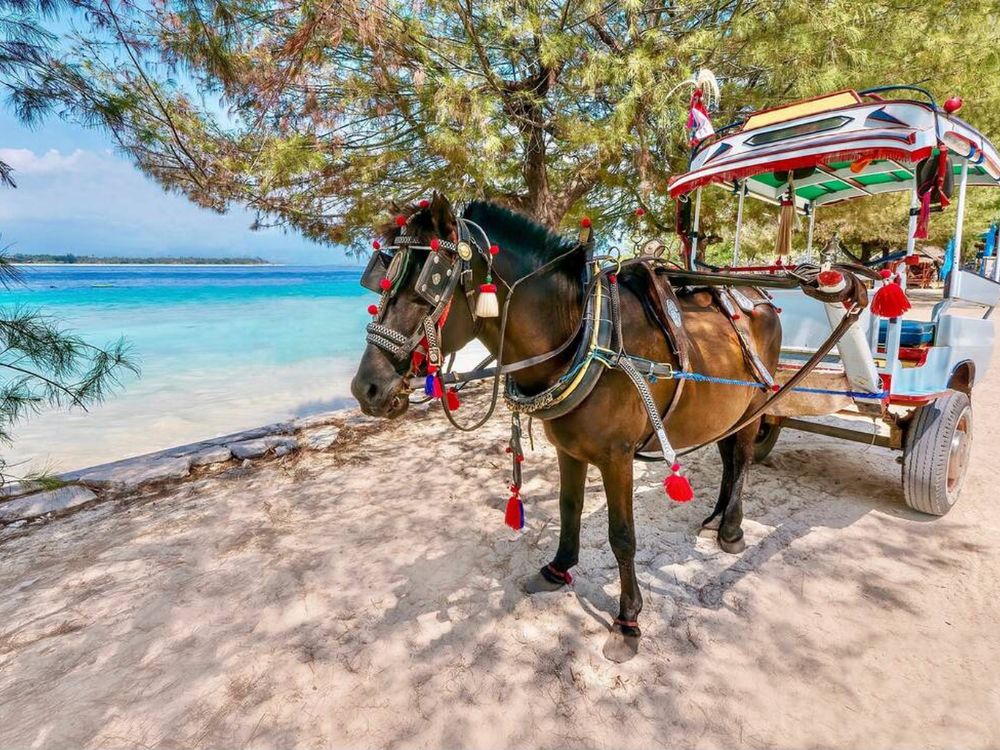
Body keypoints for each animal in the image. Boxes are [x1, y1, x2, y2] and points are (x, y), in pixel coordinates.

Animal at [351, 194, 781, 662]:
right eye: (381, 280)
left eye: (430, 283)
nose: (365, 388)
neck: (584, 334)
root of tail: (758, 294)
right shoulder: (569, 449)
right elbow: (567, 507)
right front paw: (558, 569)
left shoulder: (617, 458)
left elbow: (622, 536)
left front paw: (628, 620)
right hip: (726, 411)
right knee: (727, 457)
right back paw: (716, 516)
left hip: (757, 403)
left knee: (741, 459)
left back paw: (731, 529)